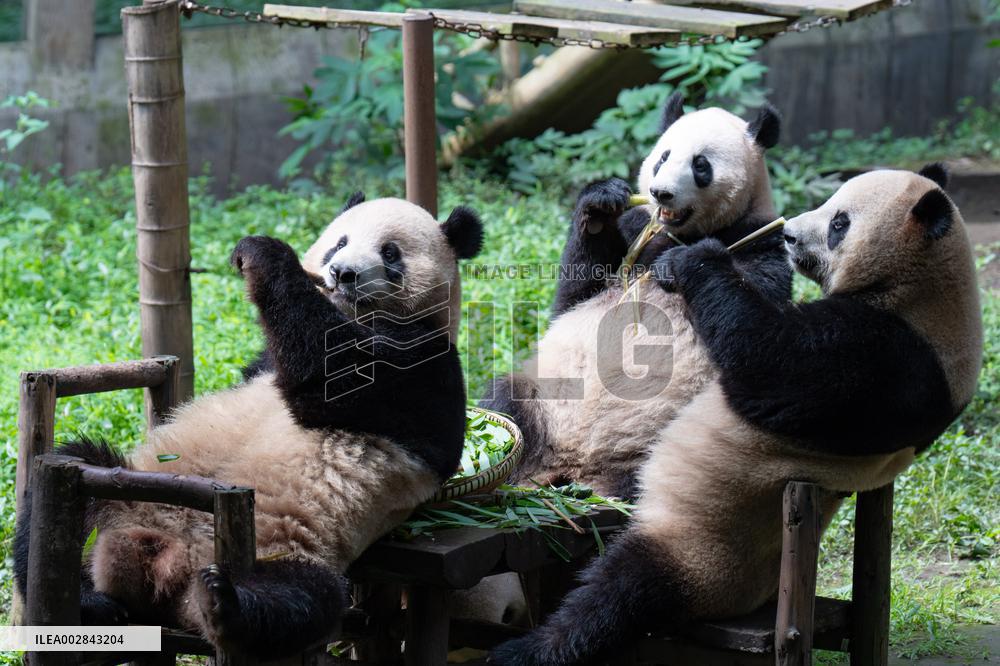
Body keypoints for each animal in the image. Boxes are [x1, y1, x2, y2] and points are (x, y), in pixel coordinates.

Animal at [14, 195, 484, 658]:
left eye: (390, 254)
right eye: (340, 242)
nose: (341, 273)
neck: (355, 315)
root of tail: (164, 563)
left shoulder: (421, 364)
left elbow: (332, 377)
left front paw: (262, 251)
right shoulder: (261, 364)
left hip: (287, 551)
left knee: (302, 601)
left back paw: (223, 604)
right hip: (123, 494)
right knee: (66, 484)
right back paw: (90, 600)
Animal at [490, 165, 984, 666]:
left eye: (839, 222)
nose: (788, 235)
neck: (928, 290)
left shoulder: (889, 360)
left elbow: (766, 360)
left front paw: (696, 259)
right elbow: (579, 296)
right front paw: (601, 204)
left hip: (701, 550)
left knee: (618, 594)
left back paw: (527, 648)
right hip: (541, 407)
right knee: (512, 402)